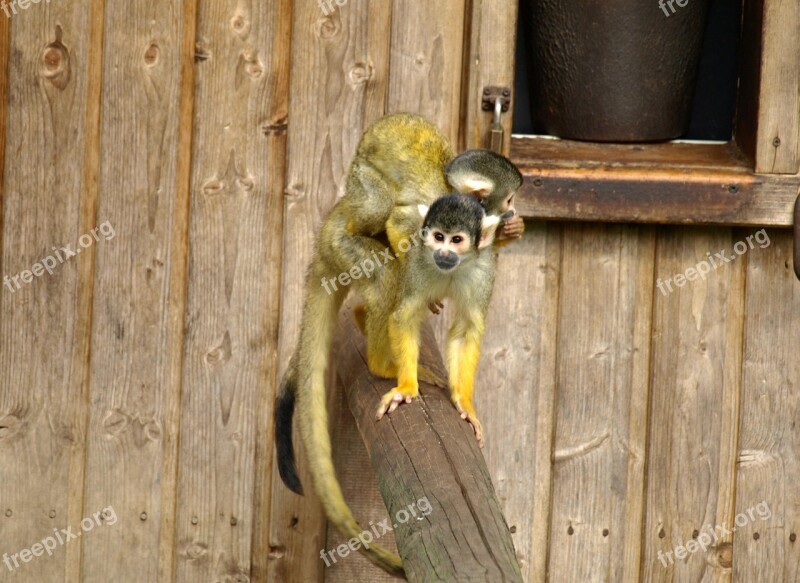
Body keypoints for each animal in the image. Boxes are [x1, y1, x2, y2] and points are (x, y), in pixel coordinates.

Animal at [376, 196, 500, 448]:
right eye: (439, 236)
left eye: (456, 240)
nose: (443, 252)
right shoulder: (418, 262)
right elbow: (404, 317)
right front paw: (406, 388)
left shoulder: (482, 274)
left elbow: (465, 331)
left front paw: (465, 404)